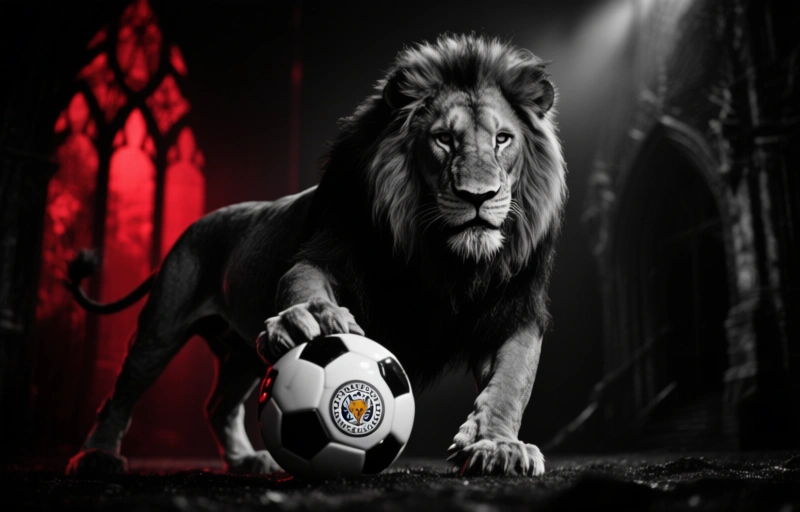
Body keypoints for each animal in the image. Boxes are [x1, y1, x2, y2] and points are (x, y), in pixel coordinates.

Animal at [65, 34, 566, 477]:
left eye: (502, 139)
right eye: (444, 138)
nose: (479, 197)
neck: (443, 256)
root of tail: (198, 223)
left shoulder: (513, 311)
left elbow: (512, 382)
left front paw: (497, 446)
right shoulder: (327, 252)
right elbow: (304, 283)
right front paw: (312, 320)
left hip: (240, 352)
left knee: (218, 406)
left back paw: (248, 461)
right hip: (160, 329)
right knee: (120, 394)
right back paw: (95, 457)